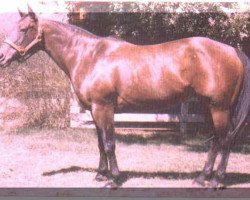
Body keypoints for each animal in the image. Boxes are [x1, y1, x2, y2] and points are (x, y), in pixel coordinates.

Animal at [0, 7, 250, 189]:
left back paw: (216, 181)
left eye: (24, 29)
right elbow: (100, 143)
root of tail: (232, 50)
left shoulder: (104, 107)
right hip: (209, 107)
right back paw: (201, 178)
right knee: (216, 140)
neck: (90, 55)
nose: (2, 57)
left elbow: (110, 143)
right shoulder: (94, 110)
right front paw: (100, 175)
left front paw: (113, 179)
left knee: (225, 140)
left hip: (219, 108)